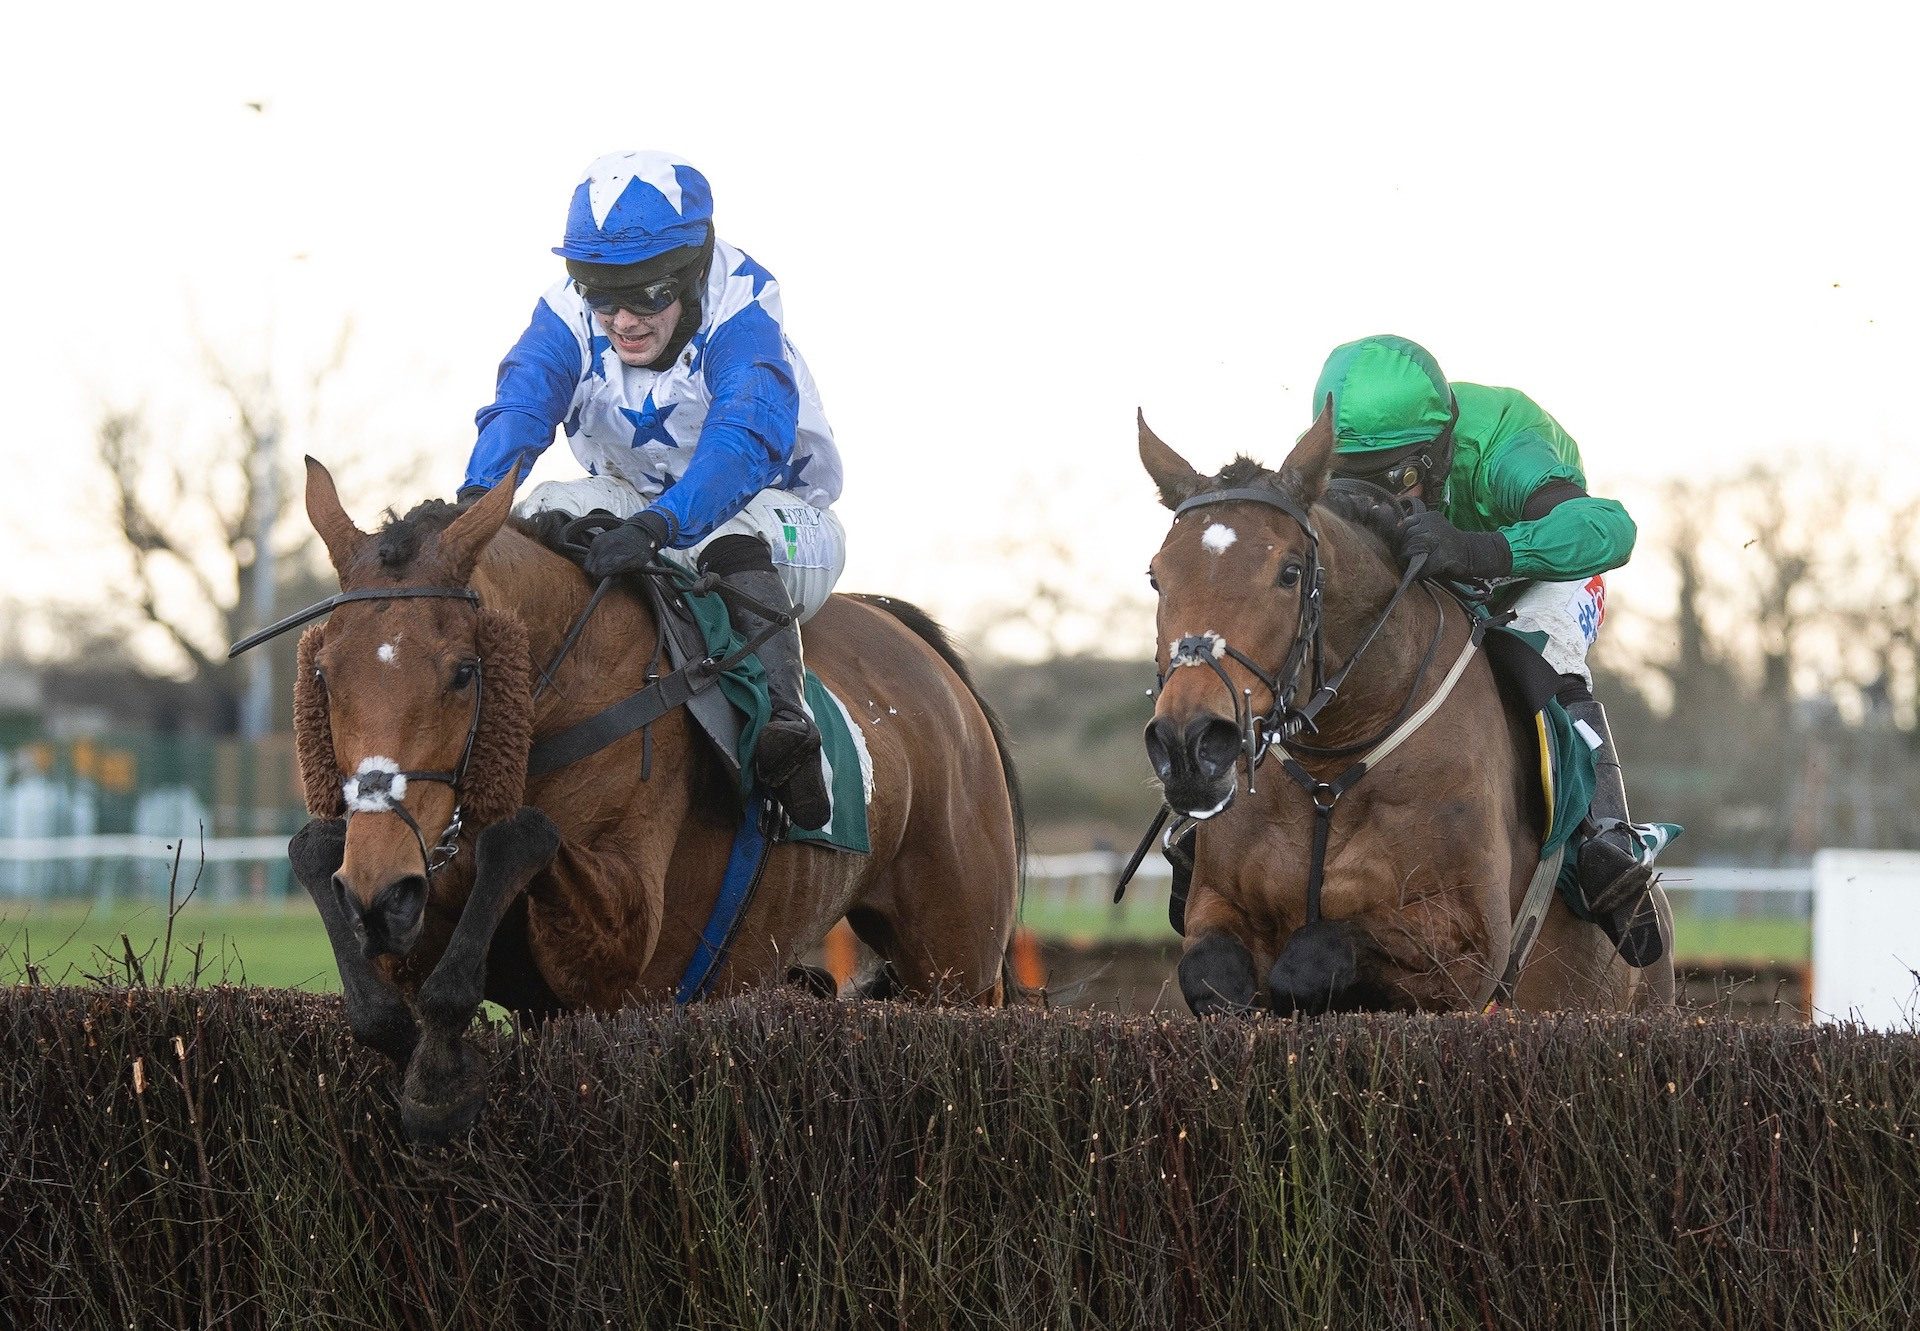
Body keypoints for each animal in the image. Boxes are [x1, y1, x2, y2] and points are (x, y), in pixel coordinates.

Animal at [276, 462, 1021, 1137]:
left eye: (463, 673)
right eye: (323, 674)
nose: (379, 894)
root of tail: (922, 649)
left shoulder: (621, 959)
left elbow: (521, 835)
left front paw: (437, 1088)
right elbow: (321, 866)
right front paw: (420, 1057)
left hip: (957, 966)